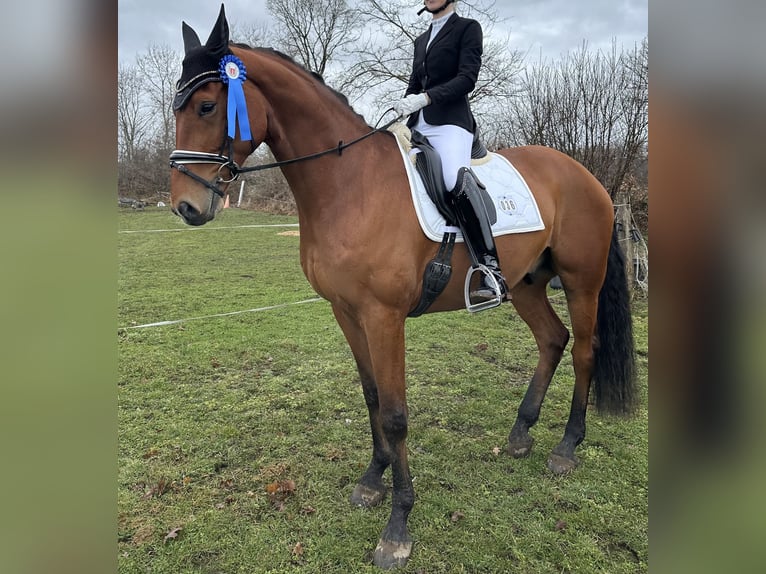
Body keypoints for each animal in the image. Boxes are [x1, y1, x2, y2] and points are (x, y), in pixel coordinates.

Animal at [168, 7, 636, 569]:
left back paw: (566, 448)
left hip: (582, 281)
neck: (348, 184)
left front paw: (397, 527)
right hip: (525, 284)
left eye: (207, 105)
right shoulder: (346, 311)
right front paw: (372, 481)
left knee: (585, 350)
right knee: (553, 340)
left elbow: (395, 415)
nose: (186, 207)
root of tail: (585, 176)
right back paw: (521, 433)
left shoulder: (383, 315)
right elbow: (372, 396)